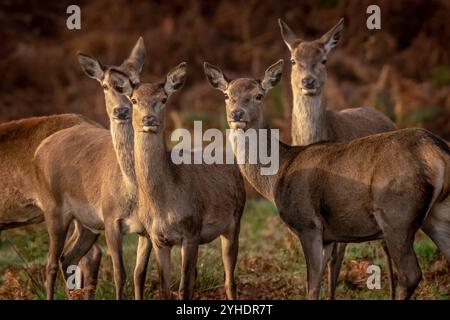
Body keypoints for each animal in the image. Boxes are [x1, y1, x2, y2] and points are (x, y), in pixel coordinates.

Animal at [32, 37, 151, 300]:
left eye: (135, 83)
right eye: (105, 85)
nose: (121, 111)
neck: (131, 191)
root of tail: (39, 150)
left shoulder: (149, 228)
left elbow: (139, 275)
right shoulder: (110, 219)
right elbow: (120, 274)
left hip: (86, 224)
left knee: (68, 258)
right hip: (53, 209)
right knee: (51, 263)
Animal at [107, 62, 244, 300]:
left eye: (163, 99)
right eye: (134, 100)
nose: (148, 119)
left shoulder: (191, 231)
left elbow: (184, 288)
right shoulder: (158, 238)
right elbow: (164, 289)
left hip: (235, 219)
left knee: (229, 280)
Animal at [204, 60, 450, 300]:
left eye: (258, 95)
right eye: (226, 94)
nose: (237, 114)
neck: (277, 176)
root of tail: (436, 151)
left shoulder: (308, 224)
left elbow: (312, 287)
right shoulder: (330, 235)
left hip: (397, 214)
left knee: (410, 274)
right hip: (437, 214)